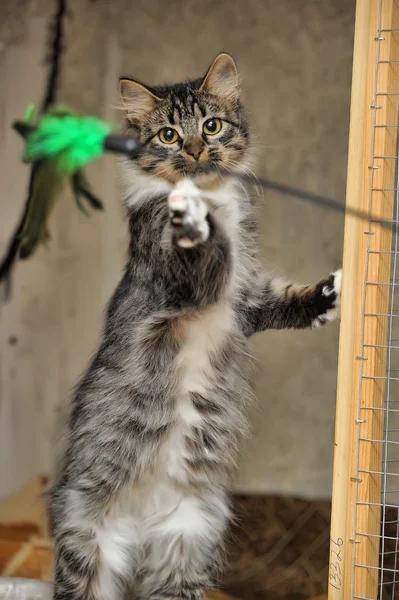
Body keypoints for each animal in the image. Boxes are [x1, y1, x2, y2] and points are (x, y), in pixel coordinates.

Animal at [47, 52, 340, 600]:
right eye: (167, 135)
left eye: (211, 126)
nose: (196, 149)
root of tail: (143, 524)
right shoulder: (181, 283)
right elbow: (197, 246)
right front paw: (192, 219)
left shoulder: (248, 301)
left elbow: (288, 300)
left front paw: (330, 294)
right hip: (86, 548)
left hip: (188, 547)